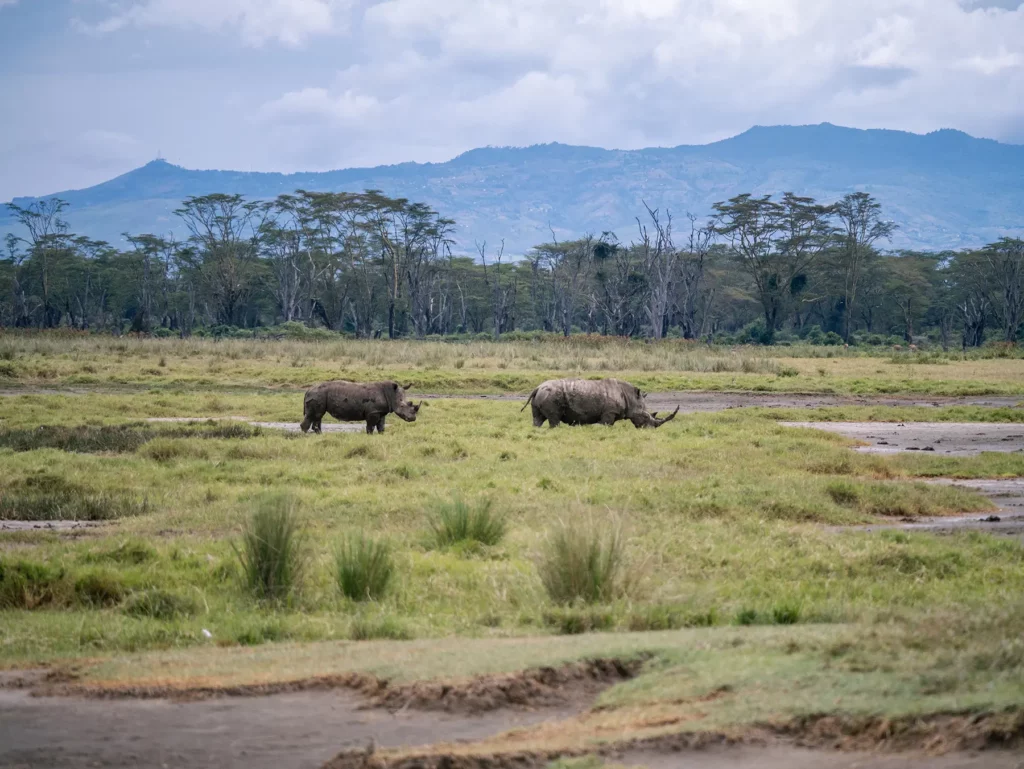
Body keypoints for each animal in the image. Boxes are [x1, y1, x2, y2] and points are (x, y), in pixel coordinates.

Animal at [521, 378, 679, 429]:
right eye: (645, 416)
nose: (650, 429)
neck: (631, 398)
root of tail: (537, 388)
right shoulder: (609, 413)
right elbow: (606, 425)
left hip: (543, 395)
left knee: (538, 419)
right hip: (551, 395)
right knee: (554, 419)